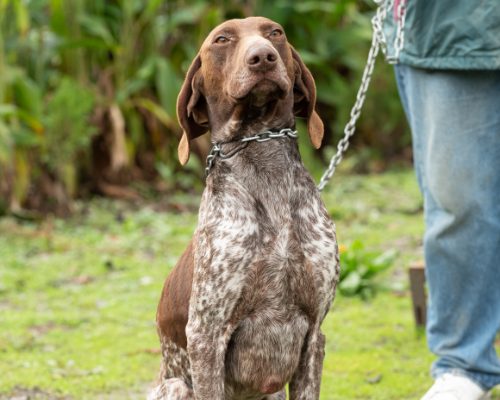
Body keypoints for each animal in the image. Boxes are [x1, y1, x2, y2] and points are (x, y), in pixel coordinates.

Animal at [150, 16, 340, 400]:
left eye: (275, 33)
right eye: (222, 39)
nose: (263, 57)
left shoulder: (315, 334)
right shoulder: (206, 337)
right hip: (175, 385)